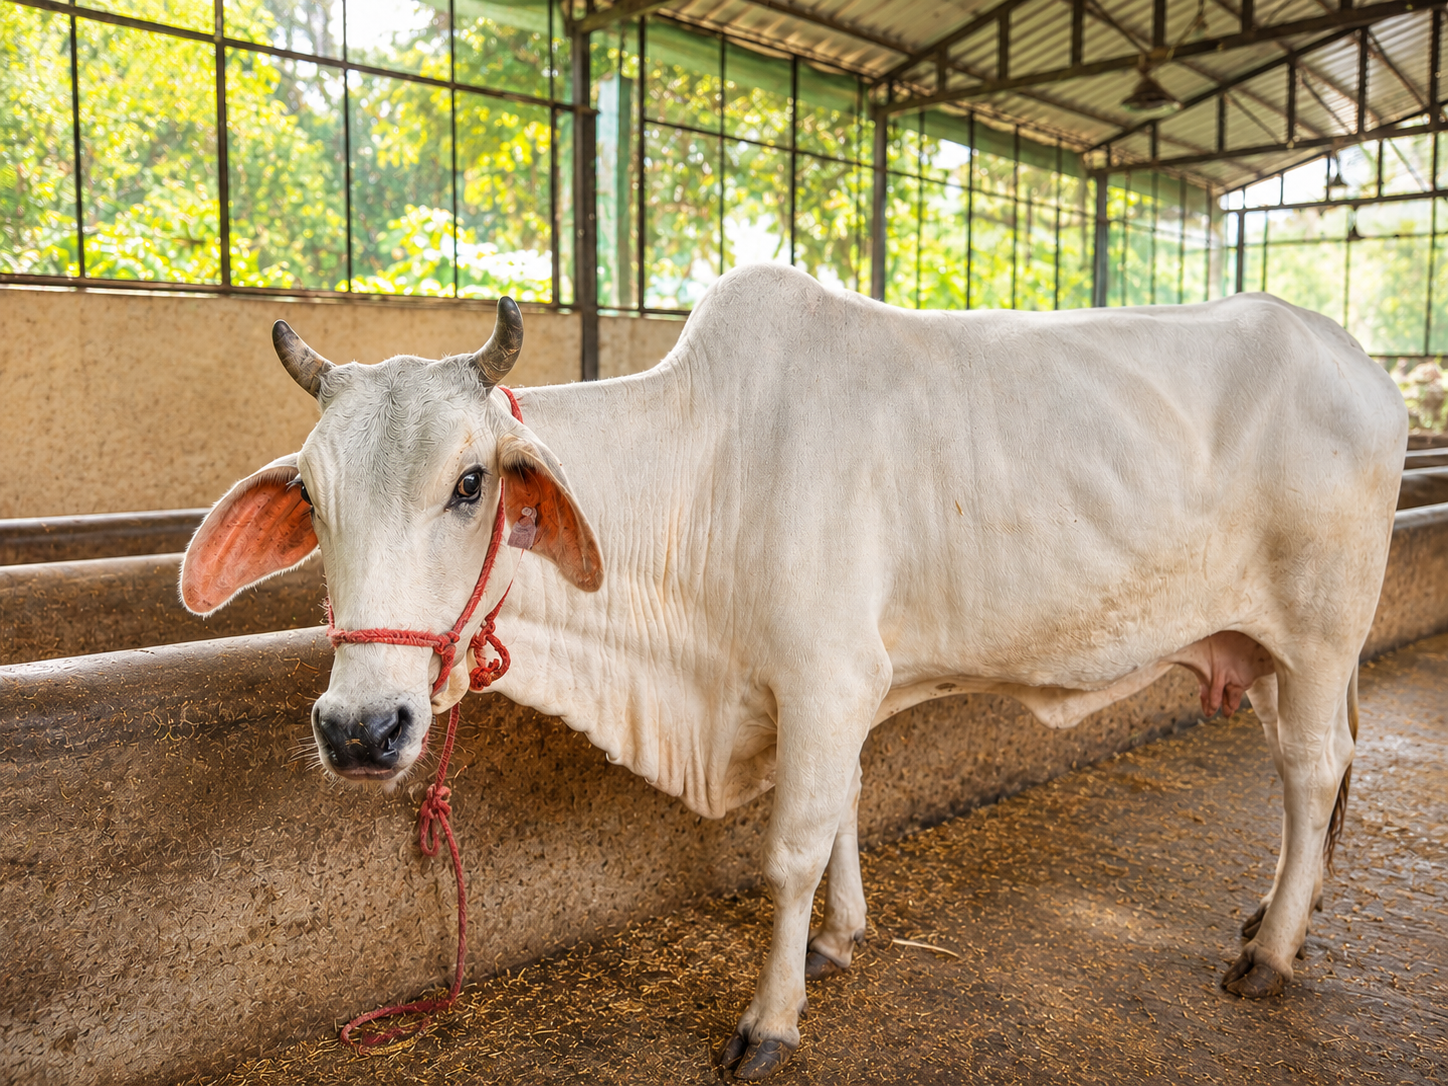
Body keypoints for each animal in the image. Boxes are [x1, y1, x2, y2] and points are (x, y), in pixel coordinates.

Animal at [180, 265, 1406, 1080]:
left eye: (471, 482)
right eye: (312, 497)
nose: (360, 728)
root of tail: (1360, 361)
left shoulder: (823, 677)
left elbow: (789, 849)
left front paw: (771, 1016)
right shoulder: (838, 689)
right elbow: (844, 809)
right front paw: (839, 936)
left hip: (1318, 632)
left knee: (1312, 771)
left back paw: (1270, 954)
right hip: (1268, 653)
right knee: (1309, 776)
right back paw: (1270, 914)